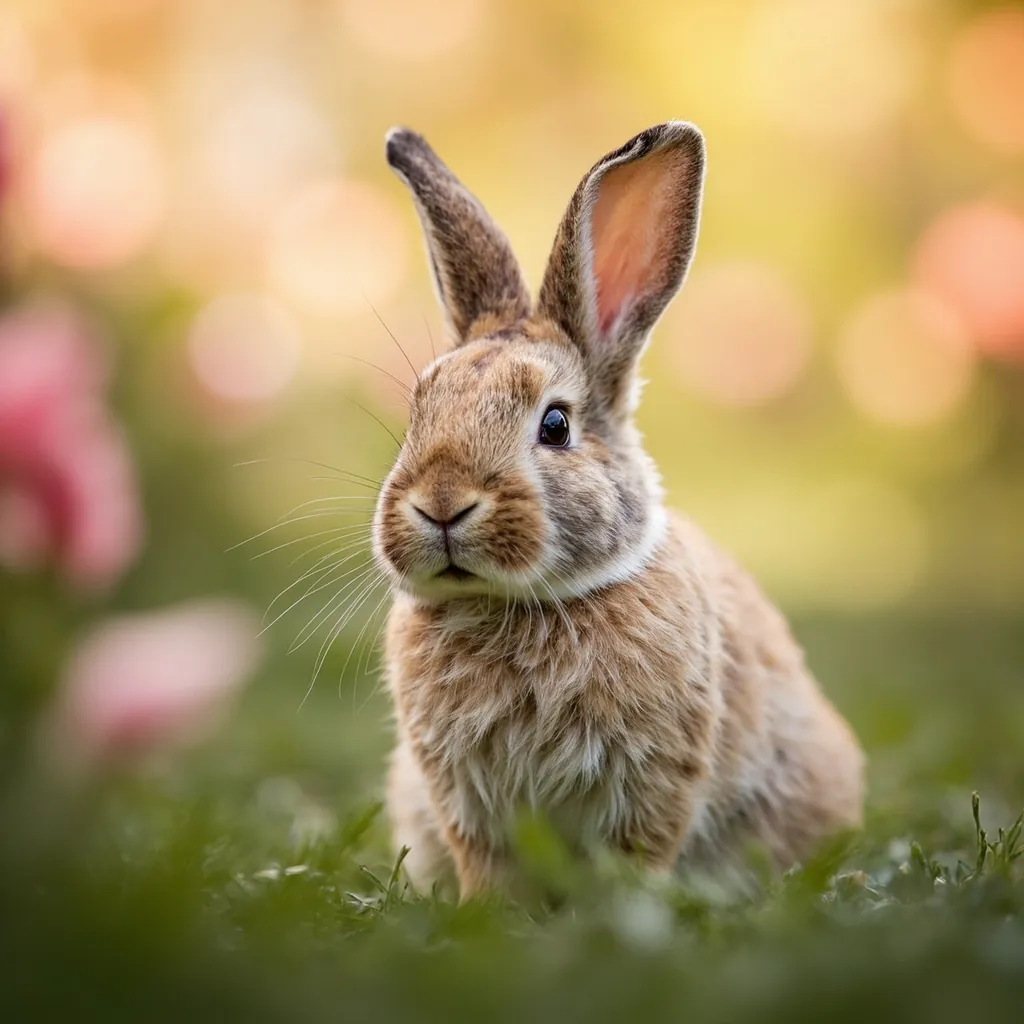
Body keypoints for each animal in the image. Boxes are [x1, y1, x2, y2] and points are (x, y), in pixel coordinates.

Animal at [373, 121, 865, 901]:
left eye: (555, 426)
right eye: (419, 412)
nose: (441, 505)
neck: (518, 604)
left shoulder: (656, 779)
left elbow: (638, 853)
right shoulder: (464, 800)